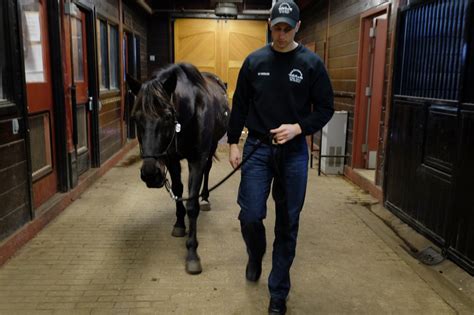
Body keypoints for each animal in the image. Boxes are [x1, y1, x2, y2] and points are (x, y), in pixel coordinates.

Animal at [126, 63, 230, 274]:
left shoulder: (197, 159)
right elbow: (178, 190)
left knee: (207, 170)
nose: (150, 174)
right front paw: (180, 224)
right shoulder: (172, 159)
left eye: (167, 117)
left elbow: (192, 204)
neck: (190, 114)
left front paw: (192, 253)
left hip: (212, 146)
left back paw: (205, 198)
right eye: (135, 118)